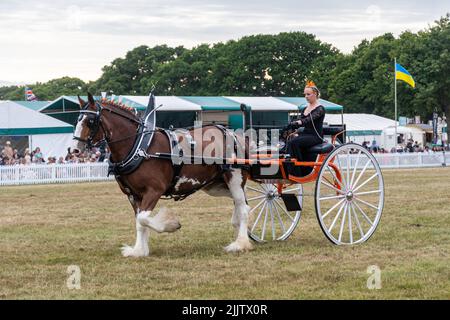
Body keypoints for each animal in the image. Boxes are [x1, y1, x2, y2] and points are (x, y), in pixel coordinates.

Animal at [70, 93, 253, 258]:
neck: (138, 147)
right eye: (77, 119)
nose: (74, 150)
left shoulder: (154, 190)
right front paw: (139, 250)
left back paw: (240, 243)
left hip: (234, 178)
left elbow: (143, 219)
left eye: (90, 121)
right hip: (215, 185)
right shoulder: (133, 195)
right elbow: (139, 222)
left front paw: (170, 224)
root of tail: (235, 135)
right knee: (241, 204)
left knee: (243, 208)